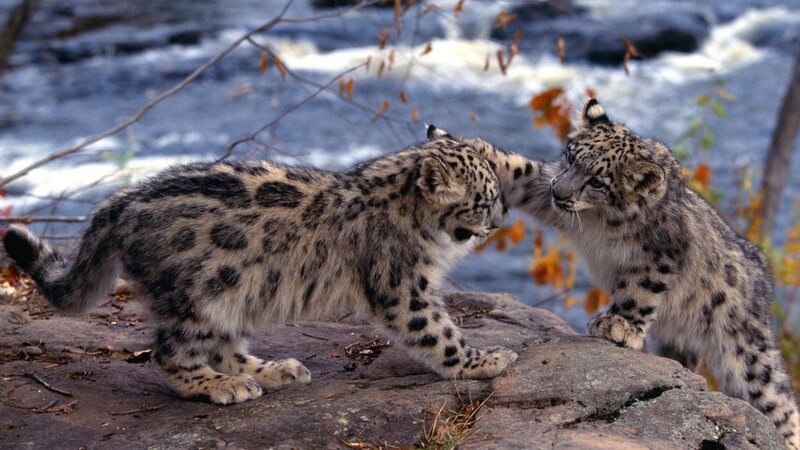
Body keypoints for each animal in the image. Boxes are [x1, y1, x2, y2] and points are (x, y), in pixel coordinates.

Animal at [2, 137, 519, 405]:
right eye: (485, 200)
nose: (499, 222)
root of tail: (122, 200)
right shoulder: (402, 286)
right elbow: (438, 332)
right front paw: (484, 361)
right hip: (198, 297)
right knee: (169, 354)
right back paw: (225, 386)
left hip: (234, 293)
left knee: (227, 345)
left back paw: (274, 370)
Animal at [427, 98, 800, 449]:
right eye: (571, 157)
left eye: (598, 182)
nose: (559, 192)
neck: (598, 221)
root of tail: (763, 277)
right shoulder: (543, 187)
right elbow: (520, 171)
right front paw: (457, 142)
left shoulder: (660, 253)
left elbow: (639, 288)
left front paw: (617, 324)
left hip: (745, 347)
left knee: (777, 398)